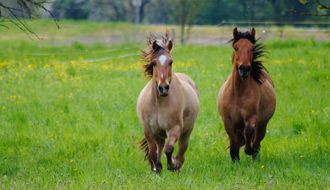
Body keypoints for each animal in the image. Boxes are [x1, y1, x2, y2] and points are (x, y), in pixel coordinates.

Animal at [137, 31, 199, 173]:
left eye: (171, 62)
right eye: (154, 63)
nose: (163, 88)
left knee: (181, 154)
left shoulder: (174, 128)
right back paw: (159, 167)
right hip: (159, 134)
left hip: (186, 132)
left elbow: (169, 149)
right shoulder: (149, 130)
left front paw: (172, 165)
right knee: (159, 147)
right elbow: (153, 154)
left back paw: (176, 167)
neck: (159, 104)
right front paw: (155, 171)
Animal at [218, 27, 278, 162]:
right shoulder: (228, 122)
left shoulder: (252, 117)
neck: (238, 92)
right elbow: (233, 146)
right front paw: (235, 162)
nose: (244, 69)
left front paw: (248, 150)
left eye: (251, 47)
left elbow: (249, 132)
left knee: (257, 141)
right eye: (236, 47)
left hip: (262, 125)